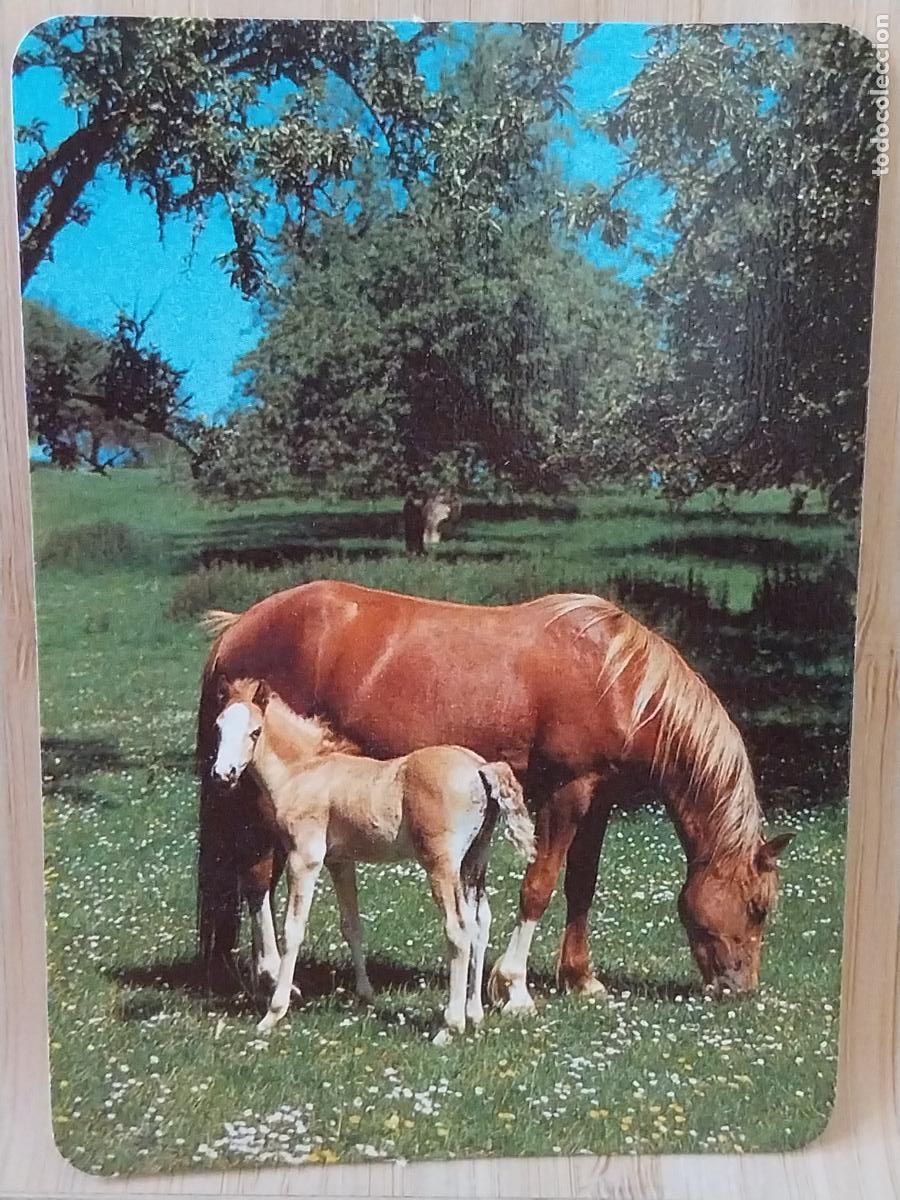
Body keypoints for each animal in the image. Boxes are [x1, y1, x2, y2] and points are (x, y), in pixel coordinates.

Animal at [210, 676, 535, 1034]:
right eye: (218, 726)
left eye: (255, 732)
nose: (223, 774)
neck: (304, 771)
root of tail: (479, 768)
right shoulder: (340, 862)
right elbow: (351, 924)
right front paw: (366, 995)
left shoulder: (305, 858)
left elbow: (293, 929)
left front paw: (273, 1013)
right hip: (474, 862)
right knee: (479, 925)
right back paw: (474, 1015)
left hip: (442, 865)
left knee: (458, 930)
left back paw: (450, 1027)